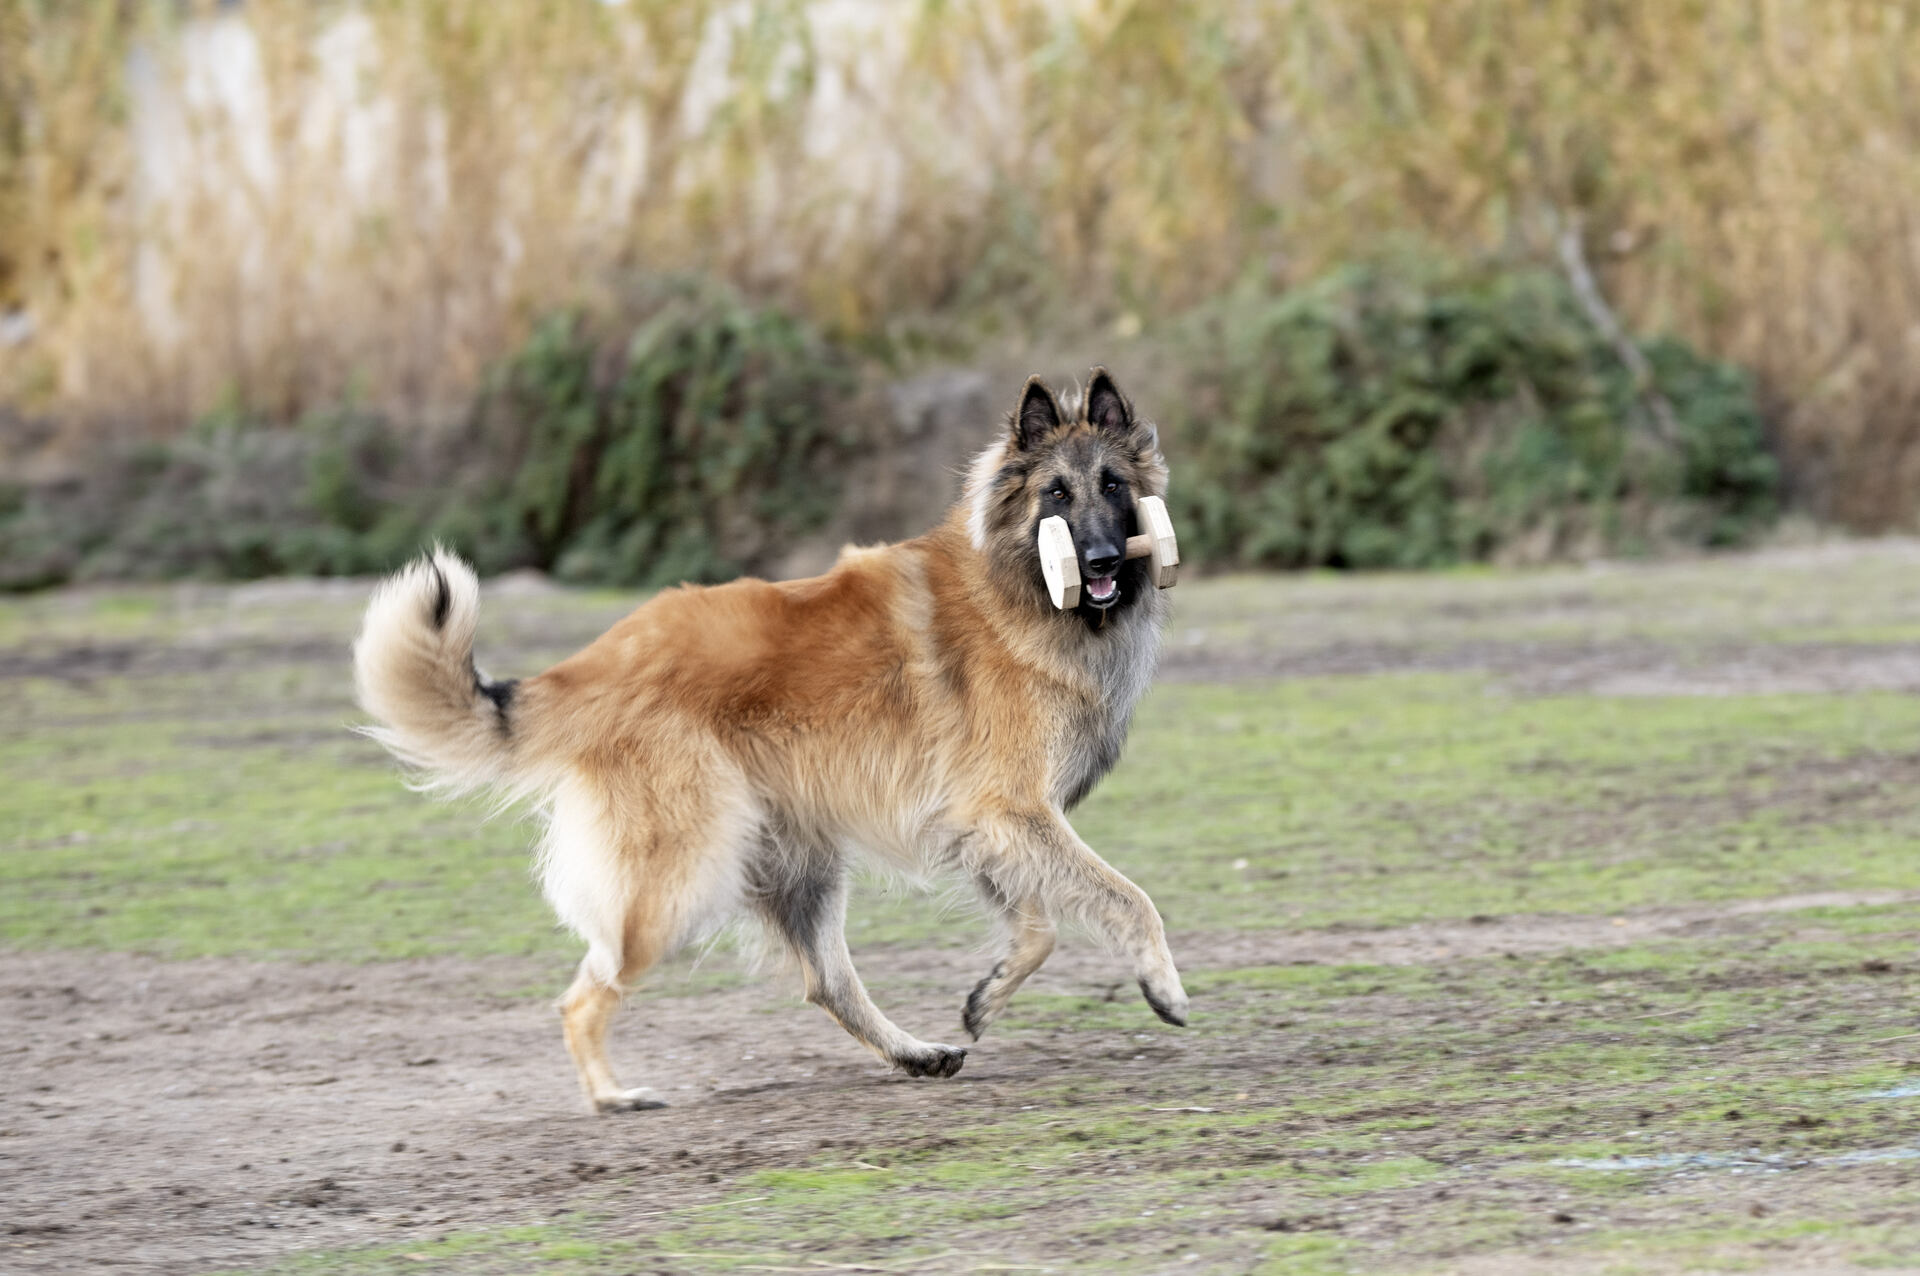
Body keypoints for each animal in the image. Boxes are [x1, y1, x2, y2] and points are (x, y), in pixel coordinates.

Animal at [349, 366, 1182, 1105]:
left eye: (1114, 484)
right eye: (1056, 493)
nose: (1103, 561)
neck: (1018, 586)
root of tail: (598, 661)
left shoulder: (985, 823)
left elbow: (1036, 927)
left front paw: (985, 997)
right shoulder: (1009, 809)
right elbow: (1129, 896)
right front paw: (1162, 985)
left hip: (797, 864)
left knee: (828, 981)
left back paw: (914, 1053)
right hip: (680, 877)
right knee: (587, 995)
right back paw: (614, 1096)